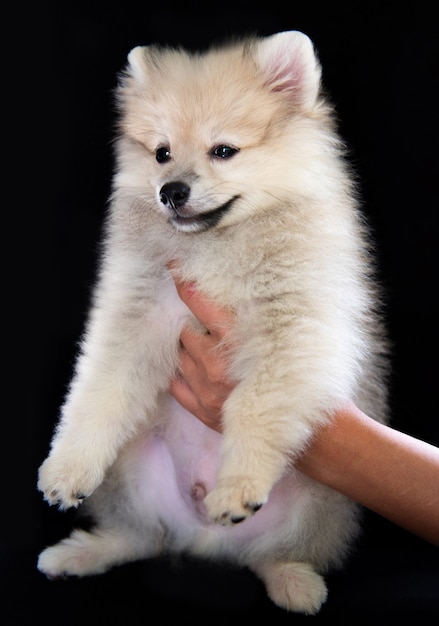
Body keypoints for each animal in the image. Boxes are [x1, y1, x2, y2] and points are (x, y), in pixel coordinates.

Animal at [37, 31, 388, 612]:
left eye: (223, 150)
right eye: (162, 153)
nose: (170, 190)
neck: (215, 245)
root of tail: (203, 538)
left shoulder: (292, 328)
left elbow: (254, 405)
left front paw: (239, 484)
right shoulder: (135, 312)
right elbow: (99, 391)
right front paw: (66, 467)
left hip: (320, 499)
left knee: (272, 554)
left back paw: (293, 582)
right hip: (133, 469)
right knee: (144, 537)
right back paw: (82, 553)